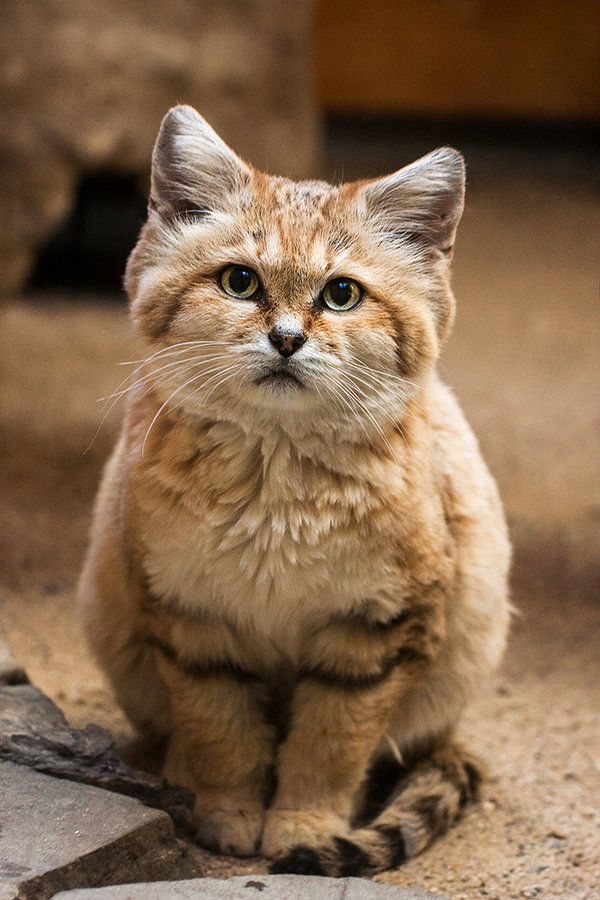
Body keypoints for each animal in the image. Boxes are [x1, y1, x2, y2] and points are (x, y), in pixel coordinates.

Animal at [78, 103, 510, 872]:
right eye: (239, 282)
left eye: (342, 294)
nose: (285, 339)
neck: (274, 481)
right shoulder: (191, 620)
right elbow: (220, 731)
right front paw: (225, 810)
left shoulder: (376, 636)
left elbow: (331, 745)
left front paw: (305, 826)